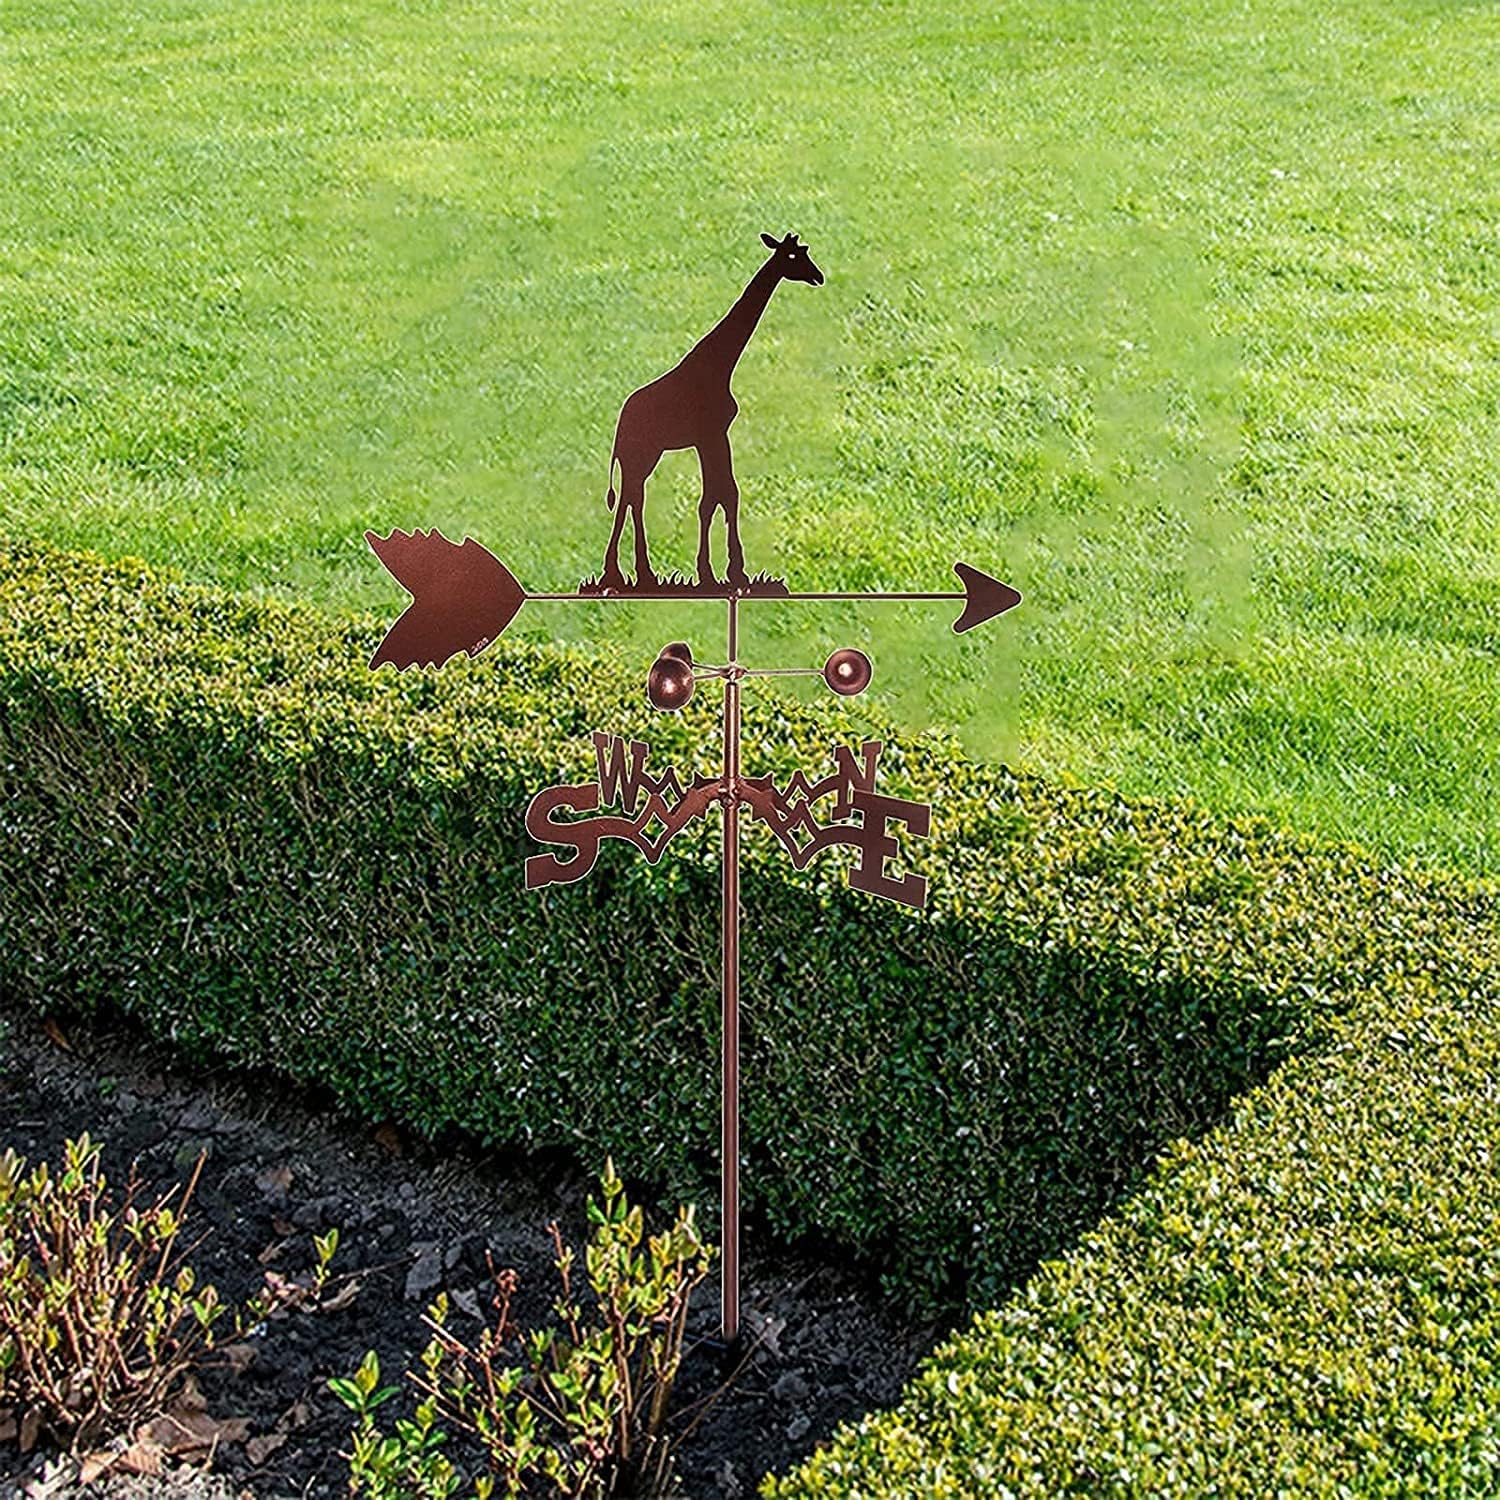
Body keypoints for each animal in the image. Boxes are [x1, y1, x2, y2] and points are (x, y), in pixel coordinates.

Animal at [598, 232, 825, 590]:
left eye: (805, 252)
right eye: (792, 256)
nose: (819, 276)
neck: (721, 364)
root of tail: (621, 423)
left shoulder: (715, 436)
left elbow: (723, 494)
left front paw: (725, 571)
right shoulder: (711, 435)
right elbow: (717, 497)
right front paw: (721, 572)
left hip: (646, 456)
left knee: (632, 498)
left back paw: (636, 573)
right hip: (641, 455)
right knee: (630, 499)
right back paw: (625, 573)